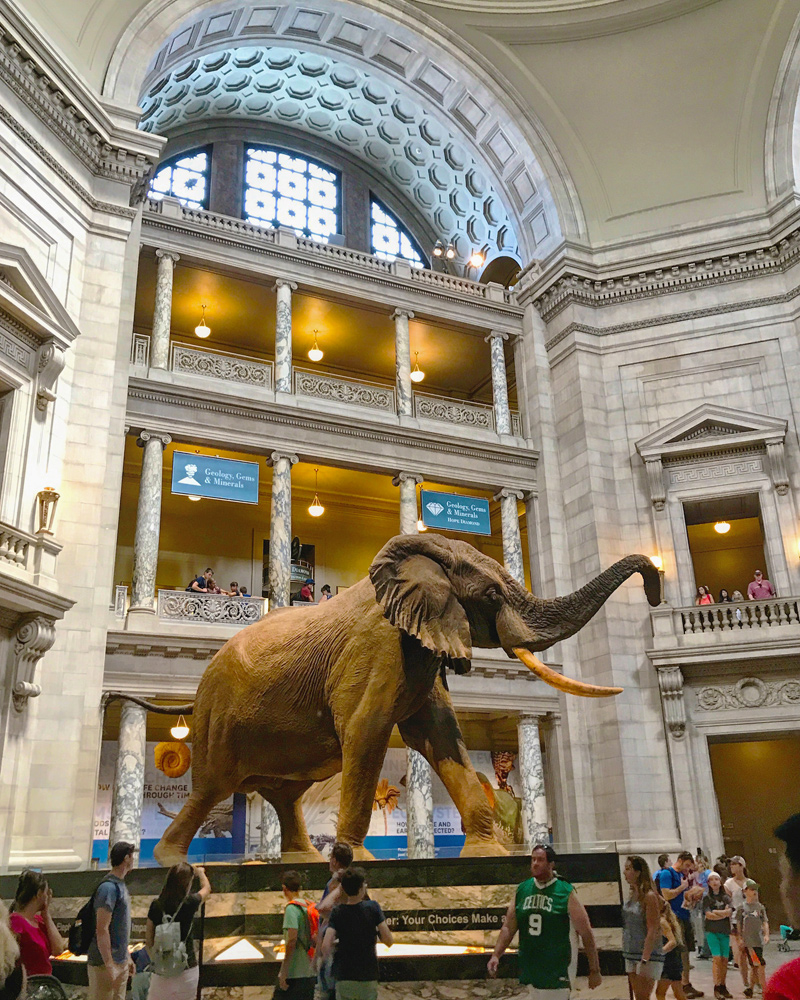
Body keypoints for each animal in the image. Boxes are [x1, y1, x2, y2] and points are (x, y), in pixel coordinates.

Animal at [148, 532, 656, 868]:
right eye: (493, 596)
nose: (655, 583)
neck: (431, 556)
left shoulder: (421, 649)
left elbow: (440, 736)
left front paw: (486, 853)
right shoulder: (378, 647)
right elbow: (366, 731)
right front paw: (357, 861)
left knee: (285, 794)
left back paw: (304, 859)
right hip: (218, 717)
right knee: (212, 786)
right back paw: (171, 861)